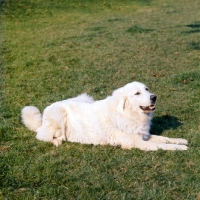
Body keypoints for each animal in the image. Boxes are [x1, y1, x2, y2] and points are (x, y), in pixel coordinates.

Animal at [21, 81, 188, 150]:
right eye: (137, 93)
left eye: (147, 89)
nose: (154, 97)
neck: (127, 114)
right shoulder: (136, 143)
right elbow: (162, 145)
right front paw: (180, 148)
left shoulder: (143, 136)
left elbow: (164, 138)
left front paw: (181, 141)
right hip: (58, 114)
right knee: (45, 136)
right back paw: (57, 141)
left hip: (85, 97)